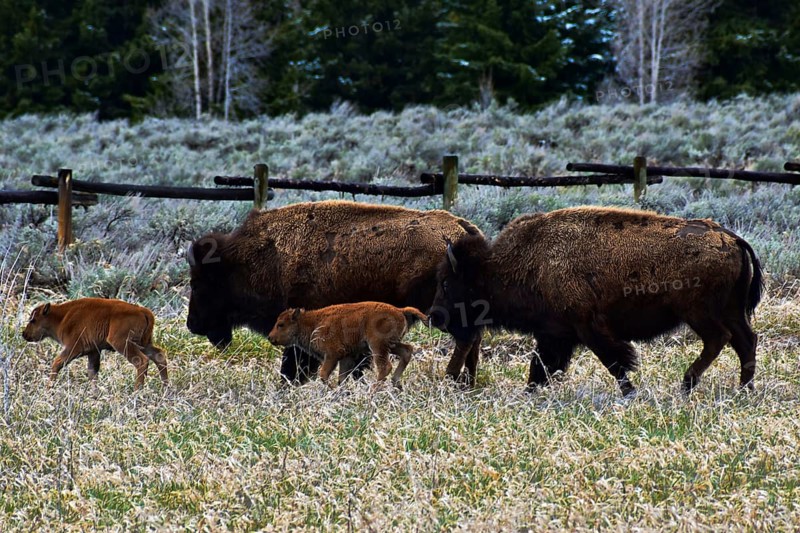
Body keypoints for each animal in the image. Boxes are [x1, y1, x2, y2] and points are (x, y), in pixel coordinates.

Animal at [187, 200, 483, 384]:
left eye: (199, 284)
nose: (192, 325)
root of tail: (462, 229)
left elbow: (294, 364)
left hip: (446, 312)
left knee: (465, 339)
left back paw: (452, 378)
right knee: (474, 340)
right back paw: (466, 381)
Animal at [430, 206, 763, 396]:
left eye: (446, 282)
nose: (434, 316)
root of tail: (730, 238)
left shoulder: (588, 329)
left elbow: (615, 362)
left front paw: (630, 393)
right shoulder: (554, 334)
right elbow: (540, 367)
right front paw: (529, 393)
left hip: (699, 313)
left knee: (719, 339)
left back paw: (687, 383)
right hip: (731, 311)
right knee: (745, 341)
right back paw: (744, 389)